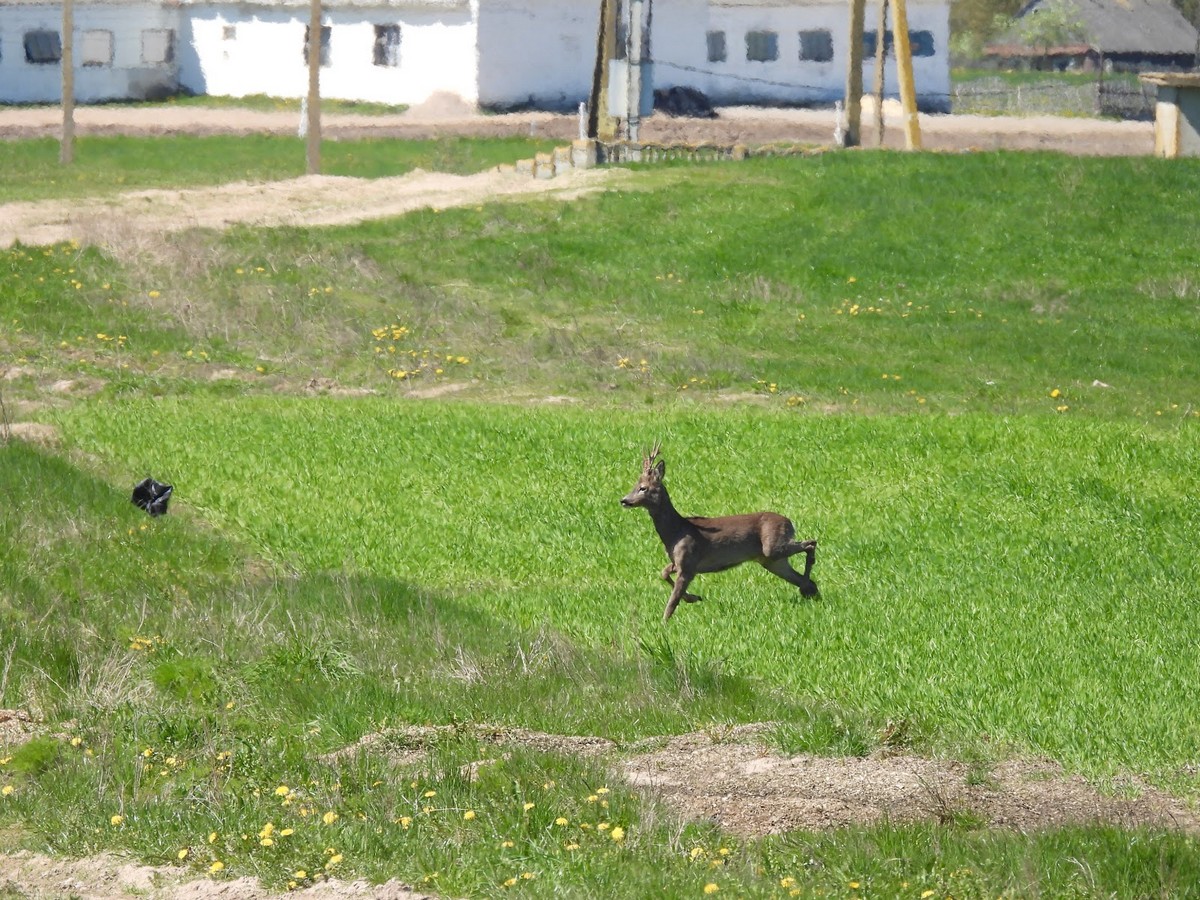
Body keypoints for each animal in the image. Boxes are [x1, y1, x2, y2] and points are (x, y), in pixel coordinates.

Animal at [619, 441, 816, 619]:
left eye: (643, 488)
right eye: (634, 486)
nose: (624, 500)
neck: (675, 532)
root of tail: (789, 522)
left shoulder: (688, 561)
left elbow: (672, 601)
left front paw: (664, 624)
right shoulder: (679, 562)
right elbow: (664, 573)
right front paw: (694, 597)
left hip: (773, 547)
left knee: (811, 543)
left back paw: (807, 584)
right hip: (771, 560)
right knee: (804, 571)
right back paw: (810, 590)